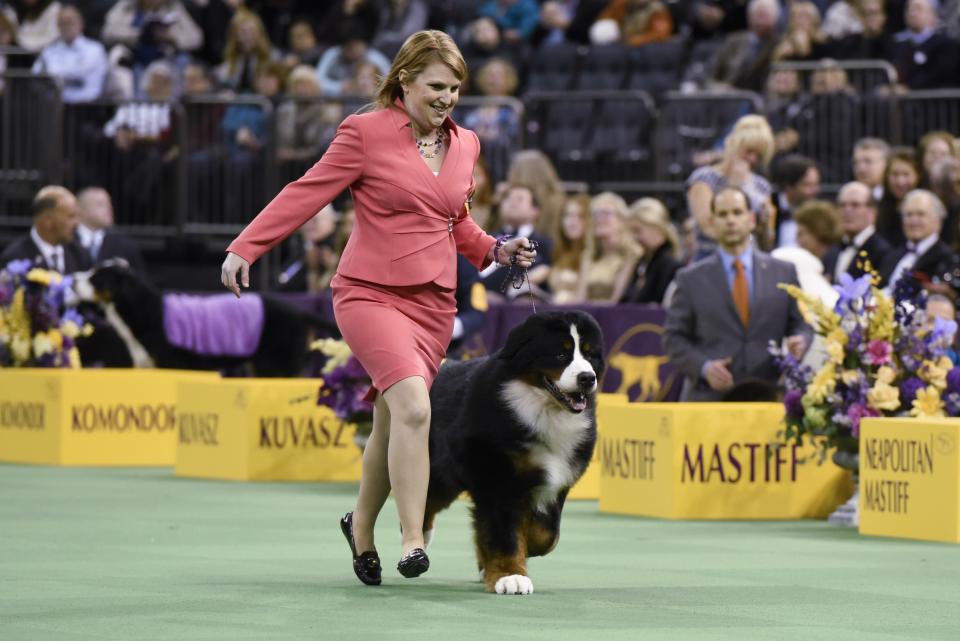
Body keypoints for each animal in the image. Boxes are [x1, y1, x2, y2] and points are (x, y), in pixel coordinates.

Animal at [424, 310, 604, 596]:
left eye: (590, 354)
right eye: (560, 354)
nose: (587, 378)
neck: (543, 409)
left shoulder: (556, 483)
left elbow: (547, 534)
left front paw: (520, 550)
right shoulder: (498, 479)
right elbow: (505, 532)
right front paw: (510, 575)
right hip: (442, 472)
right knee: (425, 500)